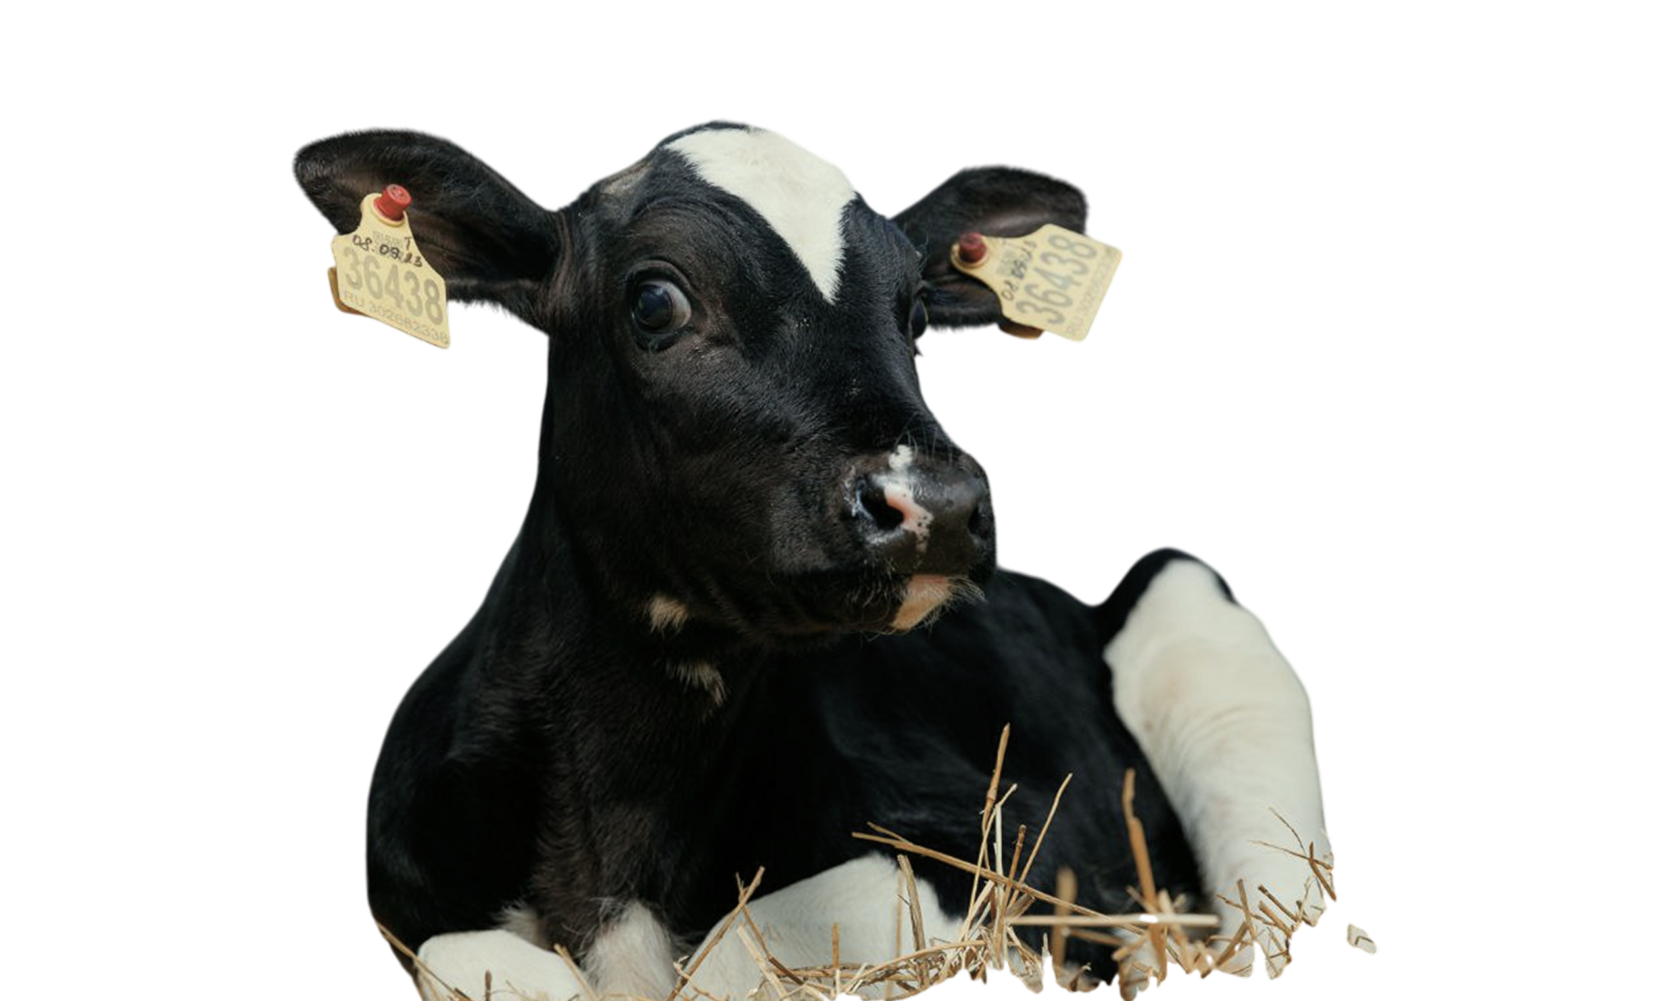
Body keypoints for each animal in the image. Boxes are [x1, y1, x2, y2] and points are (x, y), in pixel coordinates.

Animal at [293, 120, 1333, 1000]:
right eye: (656, 298)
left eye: (916, 309)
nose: (939, 503)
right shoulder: (421, 895)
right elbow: (475, 958)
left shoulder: (999, 850)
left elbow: (743, 951)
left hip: (1202, 627)